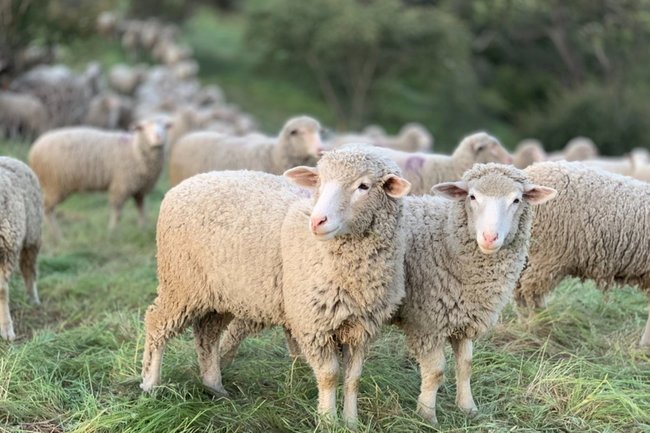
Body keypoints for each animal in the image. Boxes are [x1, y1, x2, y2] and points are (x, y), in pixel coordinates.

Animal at [28, 117, 171, 236]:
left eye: (164, 127)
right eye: (143, 127)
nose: (158, 137)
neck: (134, 150)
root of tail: (34, 149)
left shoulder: (139, 189)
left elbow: (141, 210)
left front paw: (143, 228)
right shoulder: (121, 185)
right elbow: (117, 212)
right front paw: (113, 231)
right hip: (55, 184)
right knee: (47, 209)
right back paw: (57, 235)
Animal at [141, 146, 411, 427]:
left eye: (363, 186)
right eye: (319, 181)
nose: (317, 221)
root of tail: (182, 186)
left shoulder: (363, 327)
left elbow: (353, 378)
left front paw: (351, 422)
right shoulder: (313, 323)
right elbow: (329, 376)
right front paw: (328, 421)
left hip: (220, 293)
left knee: (207, 335)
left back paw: (214, 386)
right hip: (181, 283)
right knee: (156, 323)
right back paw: (150, 384)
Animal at [514, 161, 650, 347]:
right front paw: (644, 345)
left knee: (519, 287)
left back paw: (527, 322)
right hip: (548, 253)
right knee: (530, 290)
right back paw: (539, 325)